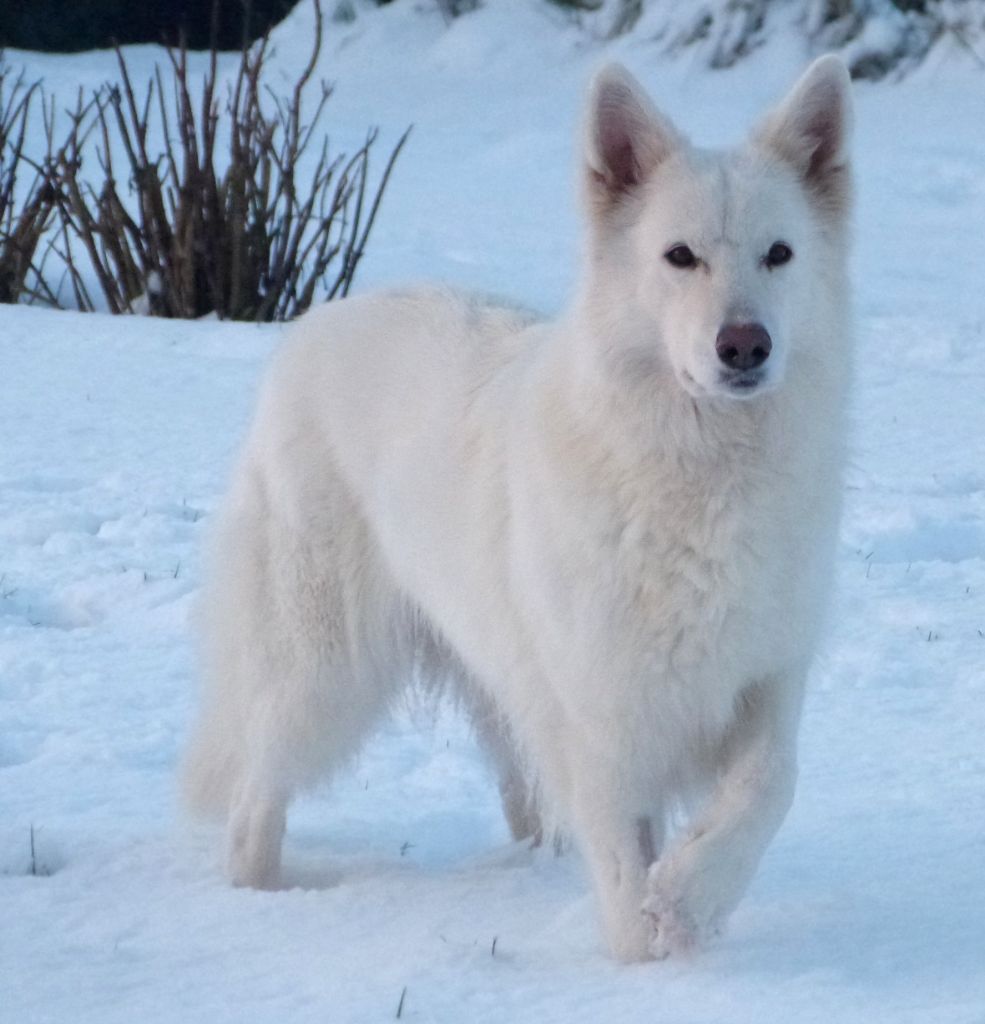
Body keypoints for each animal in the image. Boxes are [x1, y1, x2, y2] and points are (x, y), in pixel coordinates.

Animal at [182, 56, 851, 962]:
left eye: (778, 254)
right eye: (678, 257)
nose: (744, 347)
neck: (701, 472)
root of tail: (317, 322)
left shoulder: (764, 681)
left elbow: (769, 788)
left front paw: (690, 901)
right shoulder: (603, 718)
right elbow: (624, 867)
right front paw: (648, 963)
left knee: (520, 792)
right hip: (326, 665)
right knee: (256, 796)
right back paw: (259, 904)